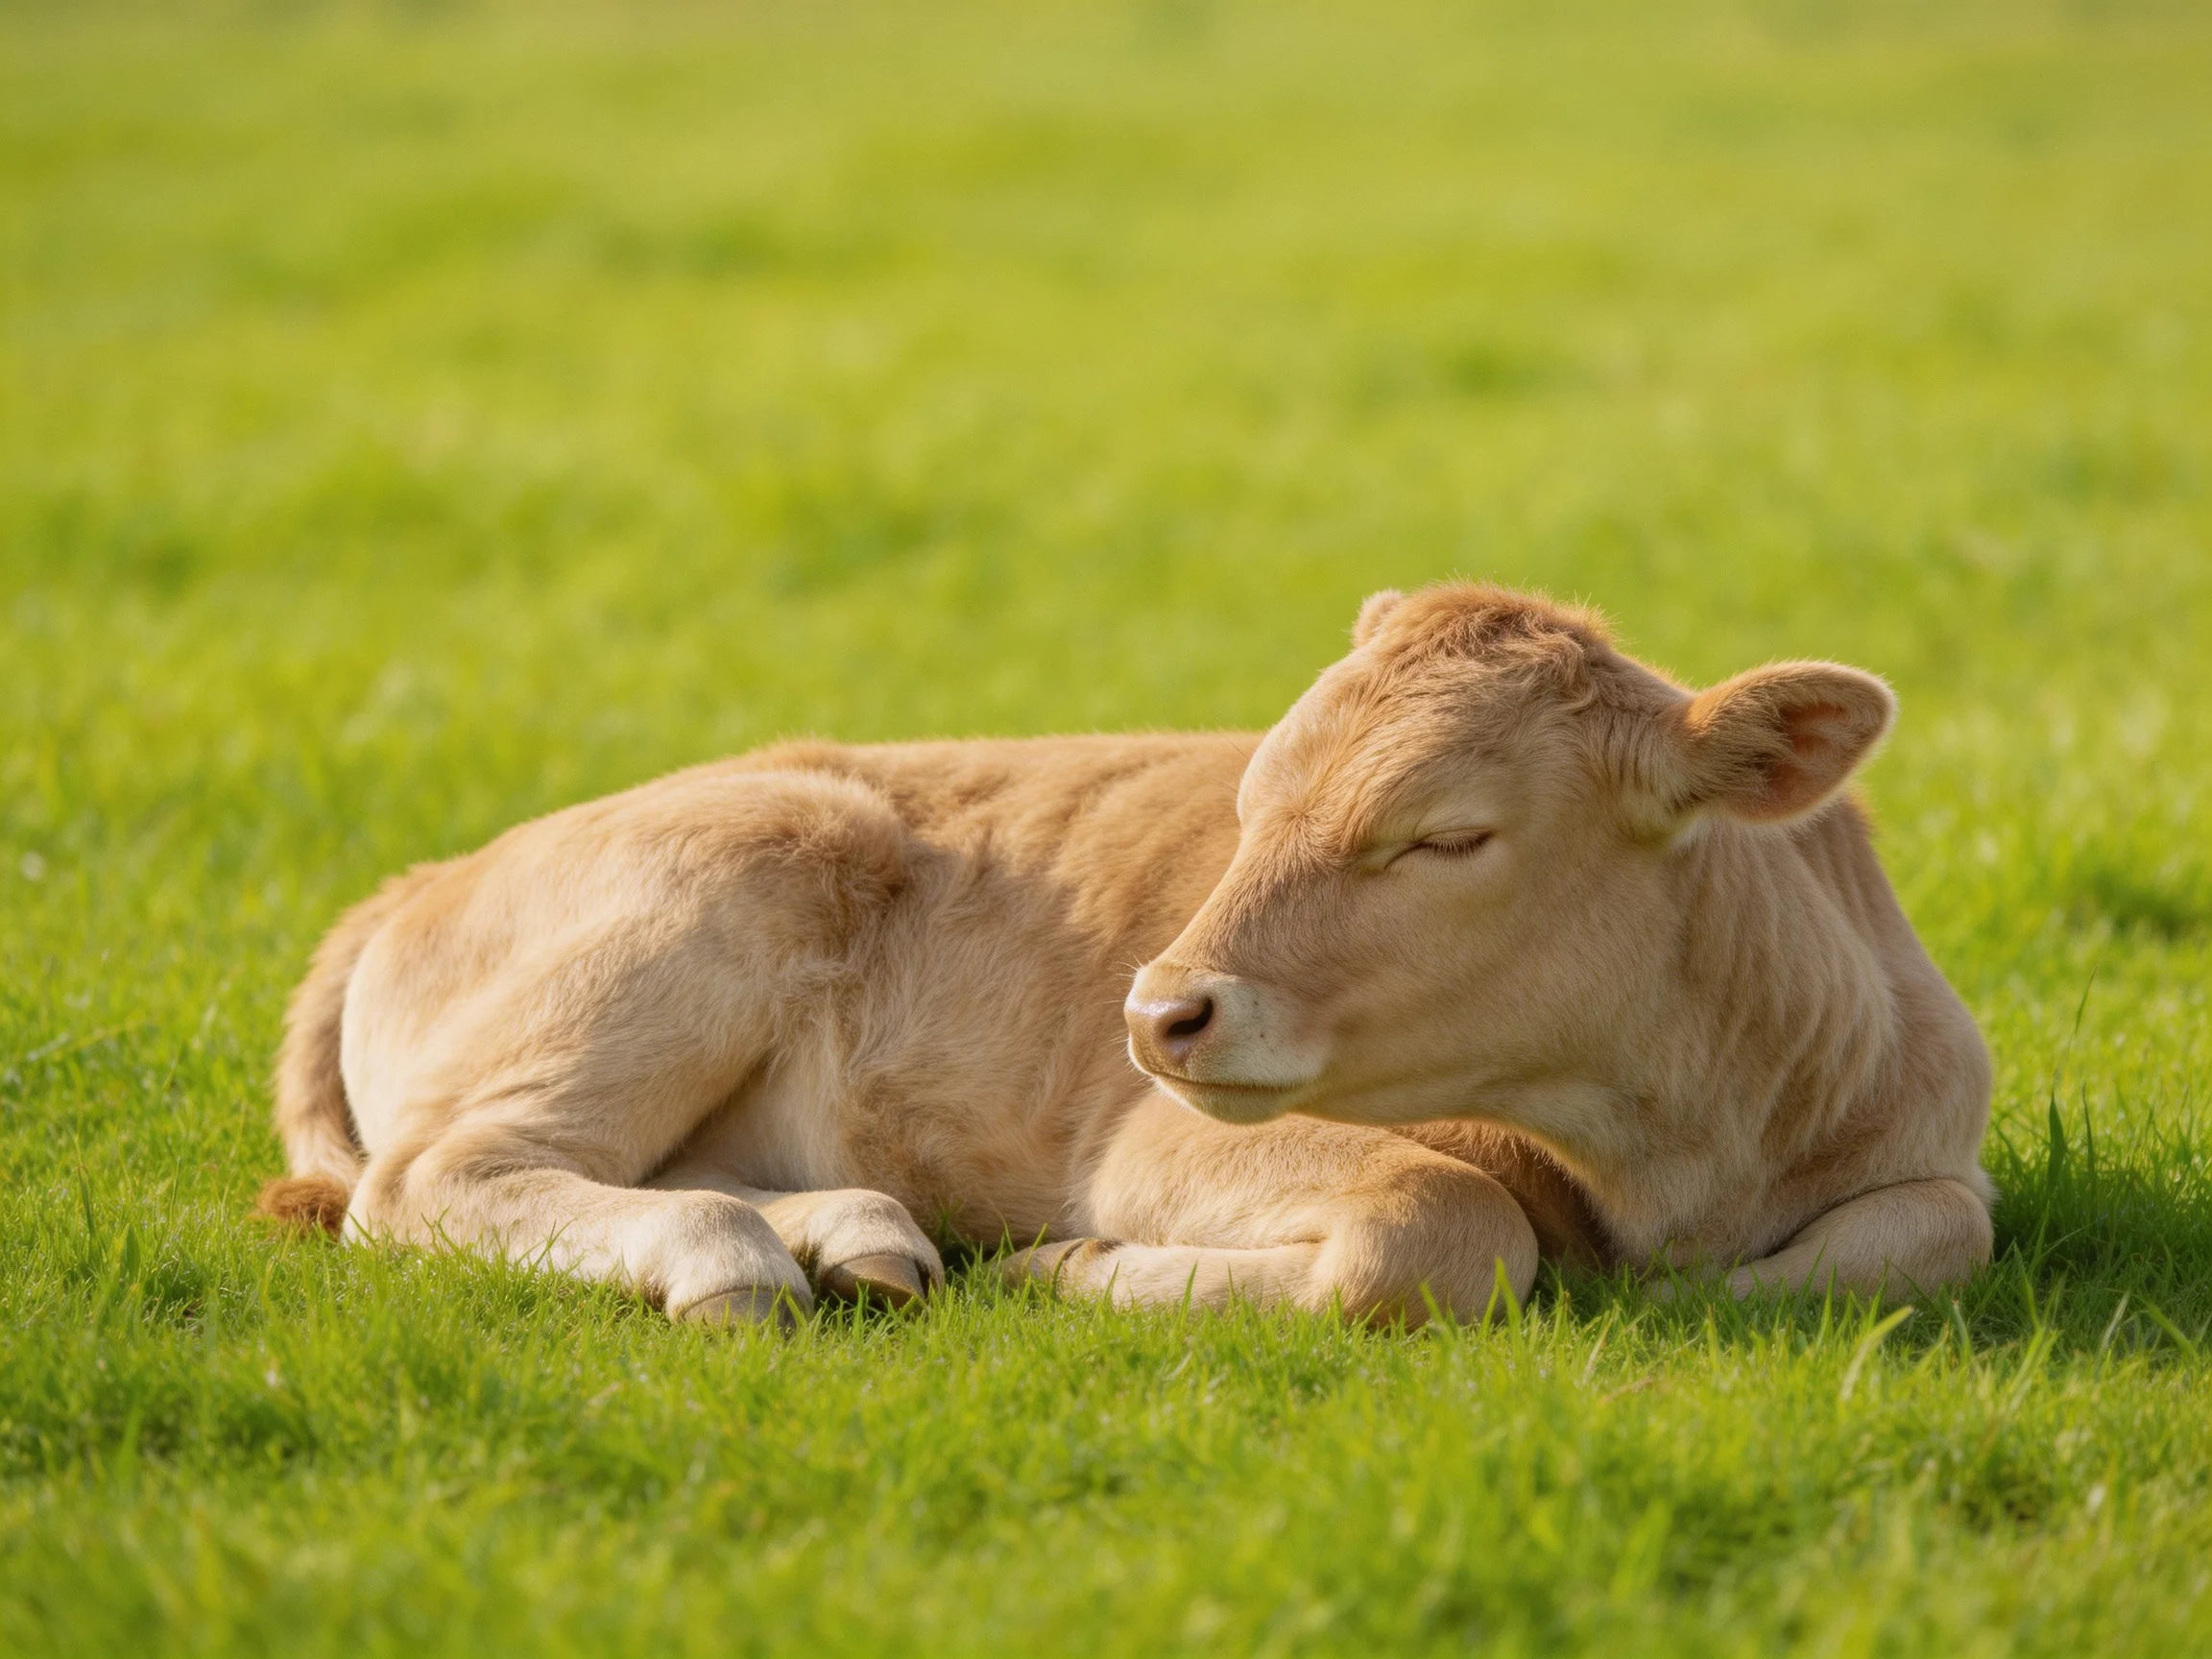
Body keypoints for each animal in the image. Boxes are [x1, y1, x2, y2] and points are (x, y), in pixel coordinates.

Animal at [259, 583, 1993, 1327]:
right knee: (441, 1177)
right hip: (726, 874)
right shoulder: (1161, 1140)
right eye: (1250, 802)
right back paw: (734, 1263)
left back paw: (855, 1236)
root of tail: (424, 874)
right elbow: (1443, 1223)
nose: (1156, 1011)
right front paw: (1074, 1269)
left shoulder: (1934, 1144)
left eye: (1445, 835)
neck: (1678, 1139)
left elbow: (1919, 1238)